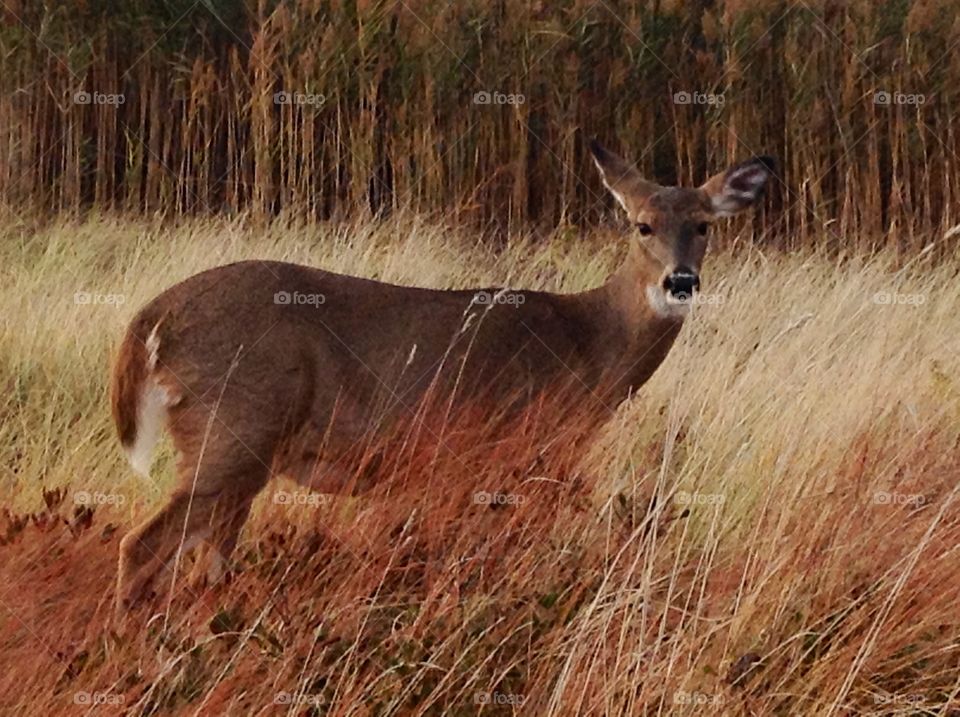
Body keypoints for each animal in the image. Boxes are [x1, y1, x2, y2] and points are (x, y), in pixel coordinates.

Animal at [110, 140, 774, 616]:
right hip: (233, 430)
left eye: (704, 225)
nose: (680, 282)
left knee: (201, 563)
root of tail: (153, 316)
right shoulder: (513, 454)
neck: (586, 343)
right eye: (641, 224)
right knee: (140, 545)